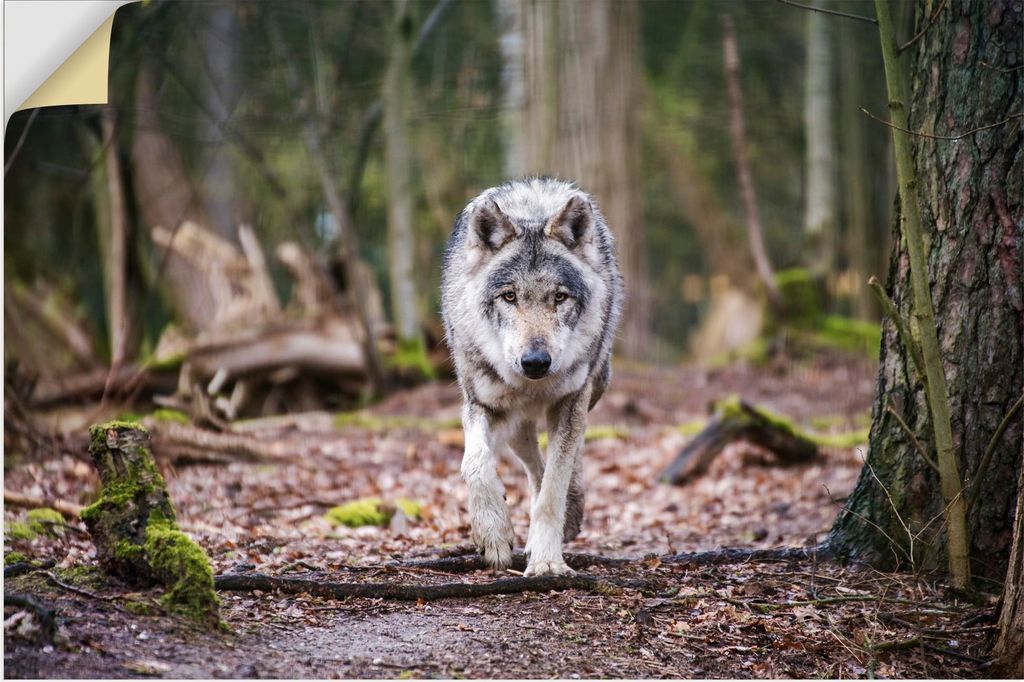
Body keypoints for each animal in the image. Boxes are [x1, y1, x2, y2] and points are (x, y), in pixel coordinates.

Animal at [441, 177, 623, 577]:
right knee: (532, 461)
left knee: (569, 458)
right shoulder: (481, 404)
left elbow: (553, 489)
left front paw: (546, 562)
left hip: (593, 389)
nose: (536, 362)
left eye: (560, 297)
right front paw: (493, 533)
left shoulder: (571, 402)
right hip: (513, 423)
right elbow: (475, 464)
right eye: (509, 296)